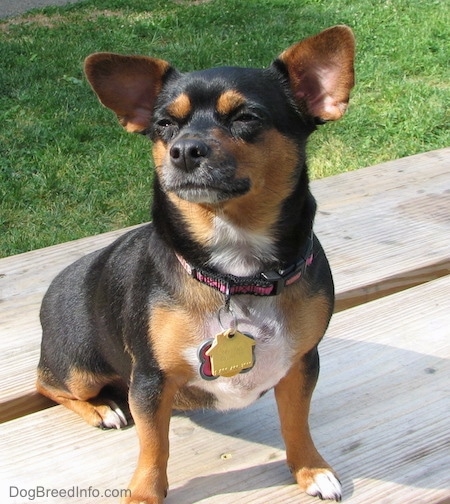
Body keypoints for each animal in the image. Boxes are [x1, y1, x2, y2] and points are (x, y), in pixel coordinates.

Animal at [37, 25, 356, 502]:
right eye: (165, 124)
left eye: (246, 117)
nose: (184, 150)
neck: (235, 269)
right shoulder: (150, 380)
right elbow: (155, 445)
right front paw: (144, 493)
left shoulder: (302, 363)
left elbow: (296, 422)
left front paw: (309, 468)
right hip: (79, 369)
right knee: (45, 384)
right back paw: (100, 410)